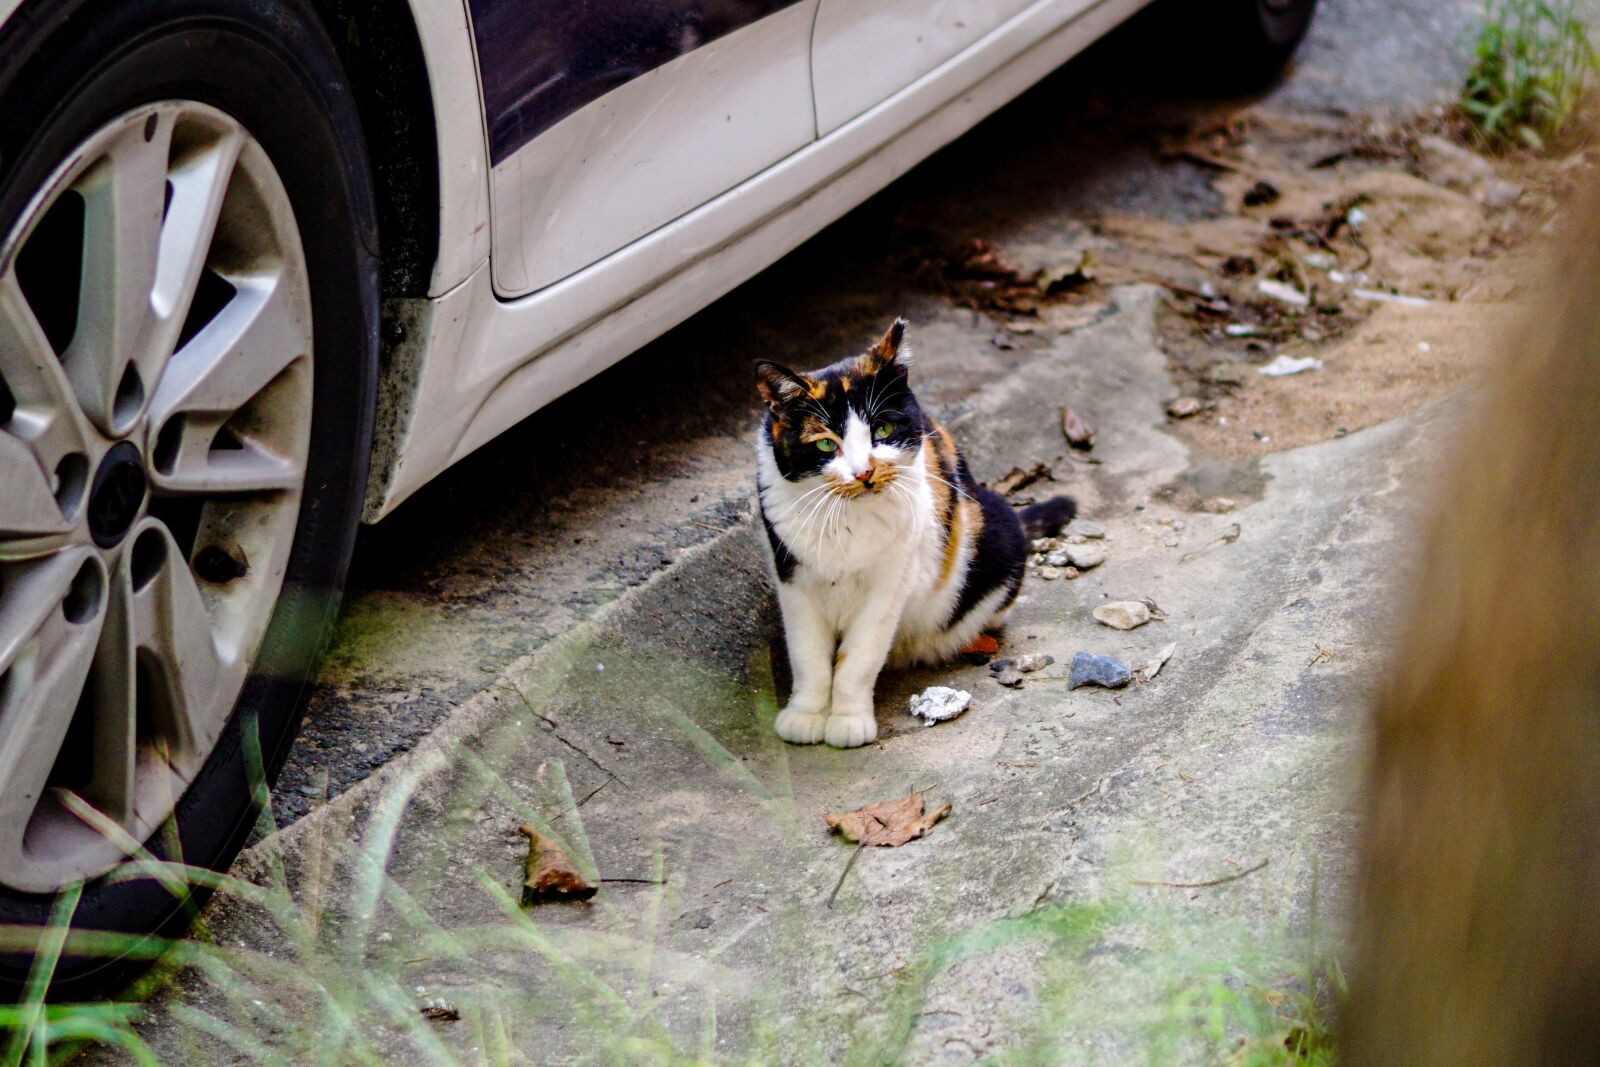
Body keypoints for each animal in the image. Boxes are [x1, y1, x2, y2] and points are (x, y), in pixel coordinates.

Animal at [752, 321, 1075, 748]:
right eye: (824, 443)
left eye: (883, 428)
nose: (864, 472)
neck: (848, 517)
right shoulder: (794, 579)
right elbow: (808, 655)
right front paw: (805, 715)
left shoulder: (890, 585)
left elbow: (859, 656)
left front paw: (848, 720)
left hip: (999, 531)